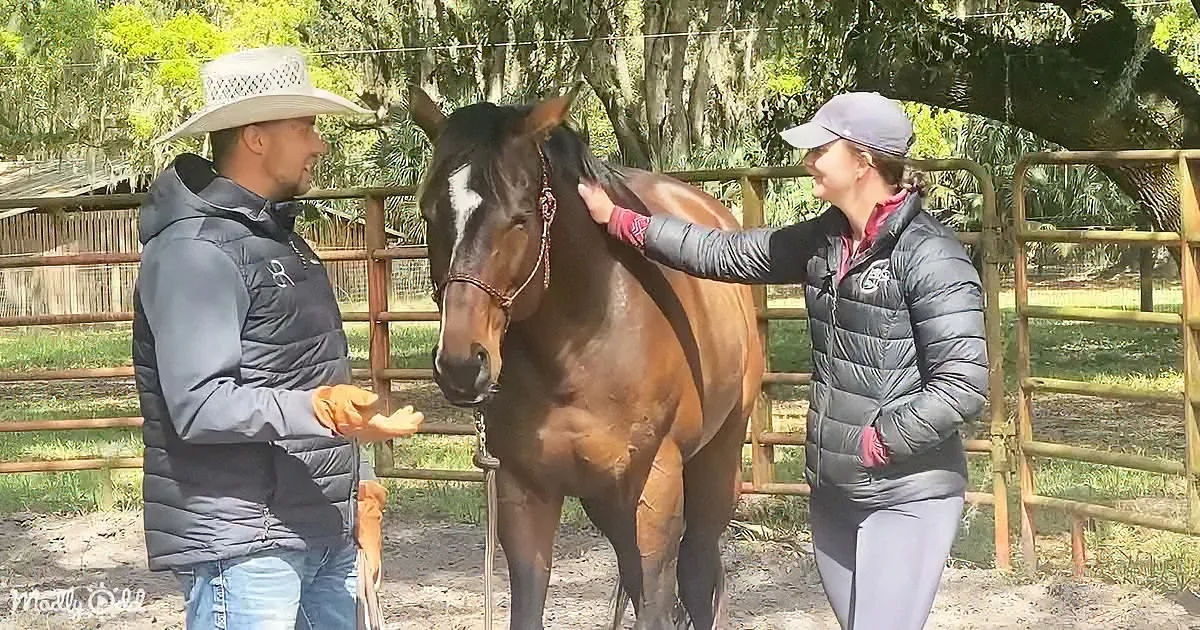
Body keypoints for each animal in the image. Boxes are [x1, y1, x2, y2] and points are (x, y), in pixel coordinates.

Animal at [406, 83, 765, 630]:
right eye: (430, 213)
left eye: (520, 218)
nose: (463, 366)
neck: (579, 349)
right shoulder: (524, 494)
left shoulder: (655, 488)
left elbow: (657, 604)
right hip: (607, 501)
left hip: (713, 466)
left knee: (700, 571)